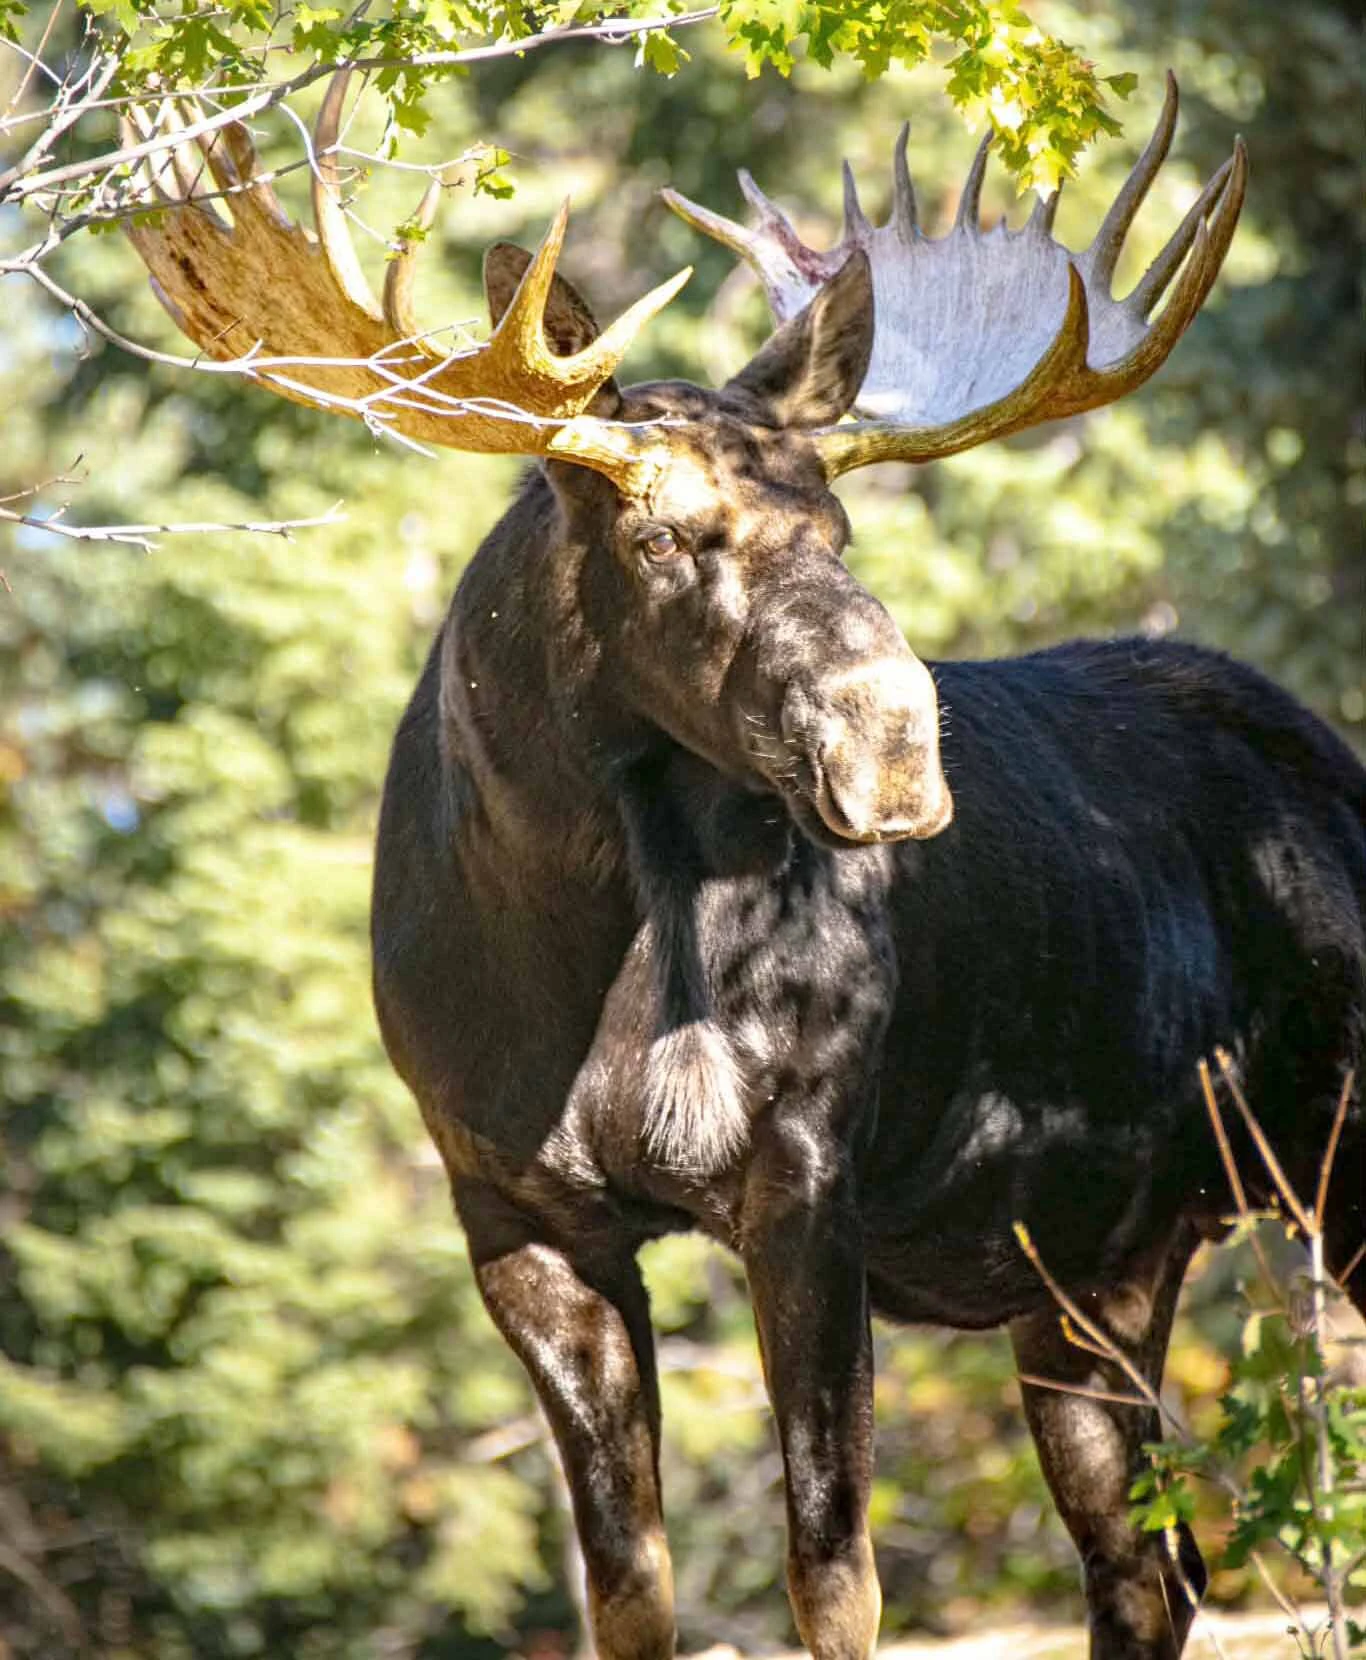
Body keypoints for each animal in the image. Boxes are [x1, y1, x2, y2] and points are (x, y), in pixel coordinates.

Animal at [122, 70, 1365, 1660]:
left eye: (838, 525)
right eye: (662, 530)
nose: (892, 742)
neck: (586, 961)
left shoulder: (807, 1172)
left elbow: (833, 1574)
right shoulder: (514, 1210)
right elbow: (629, 1587)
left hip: (1324, 1159)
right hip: (1101, 1263)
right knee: (1150, 1566)